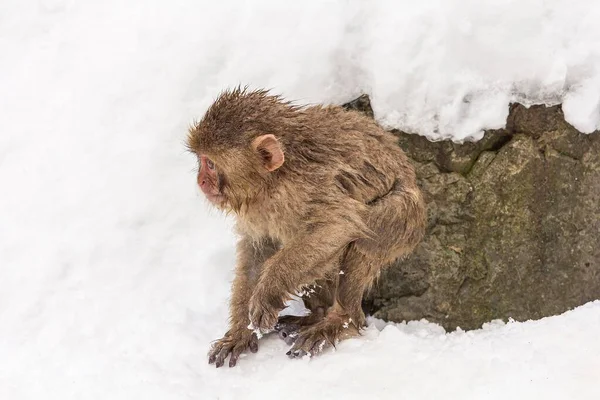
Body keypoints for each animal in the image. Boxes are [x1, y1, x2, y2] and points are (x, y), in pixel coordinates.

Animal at [188, 87, 426, 368]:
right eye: (202, 161)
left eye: (211, 164)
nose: (201, 181)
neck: (275, 180)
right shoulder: (258, 210)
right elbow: (259, 249)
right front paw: (240, 332)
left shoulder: (308, 187)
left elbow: (339, 224)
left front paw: (267, 293)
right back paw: (315, 315)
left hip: (408, 217)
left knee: (366, 237)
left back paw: (341, 321)